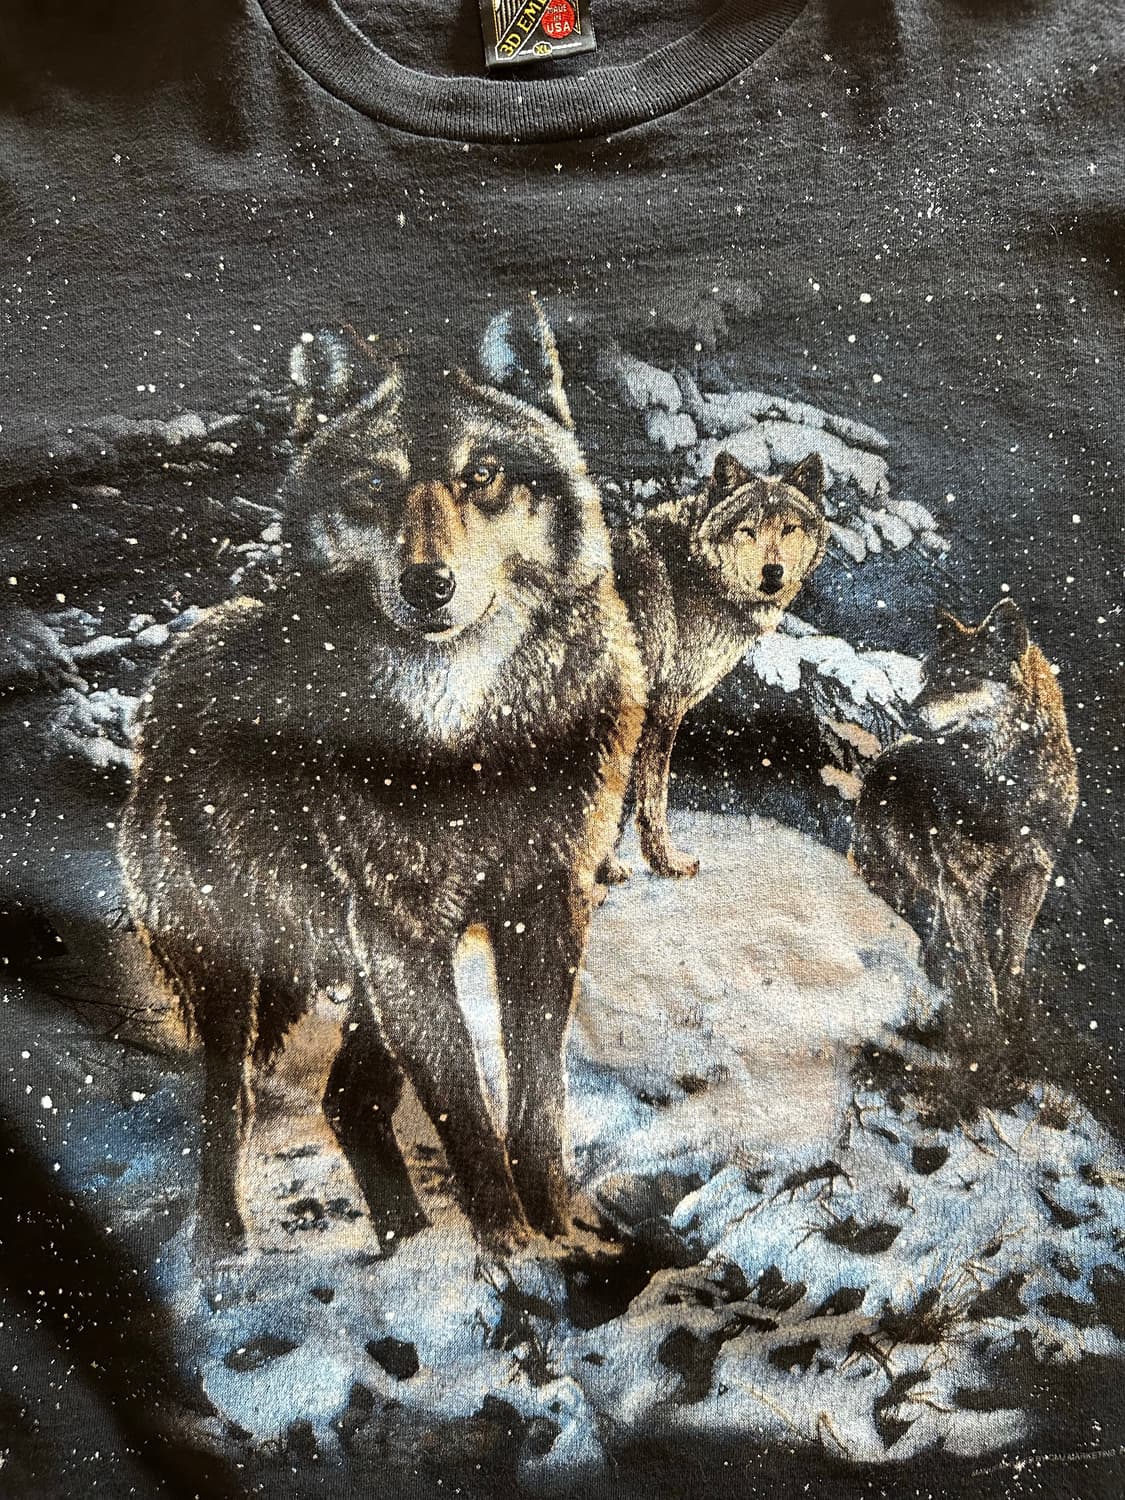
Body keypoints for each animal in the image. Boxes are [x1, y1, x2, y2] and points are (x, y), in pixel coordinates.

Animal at [119, 299, 646, 1257]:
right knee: (226, 1103)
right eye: (374, 486)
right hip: (243, 968)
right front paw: (508, 1244)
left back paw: (403, 1236)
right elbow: (465, 1109)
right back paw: (222, 1247)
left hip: (363, 970)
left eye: (482, 477)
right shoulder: (402, 931)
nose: (428, 584)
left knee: (348, 1100)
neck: (465, 735)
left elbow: (537, 1098)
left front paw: (553, 1232)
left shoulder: (545, 903)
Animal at [607, 449, 828, 878]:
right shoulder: (662, 707)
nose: (772, 572)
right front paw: (663, 863)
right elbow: (650, 795)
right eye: (747, 531)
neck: (697, 571)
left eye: (789, 529)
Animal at [851, 599, 1078, 1013]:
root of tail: (882, 759)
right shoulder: (963, 885)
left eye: (961, 677)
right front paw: (986, 1024)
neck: (1007, 794)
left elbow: (1012, 960)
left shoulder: (1032, 876)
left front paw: (1012, 1017)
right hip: (891, 883)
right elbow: (981, 974)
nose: (907, 711)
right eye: (927, 676)